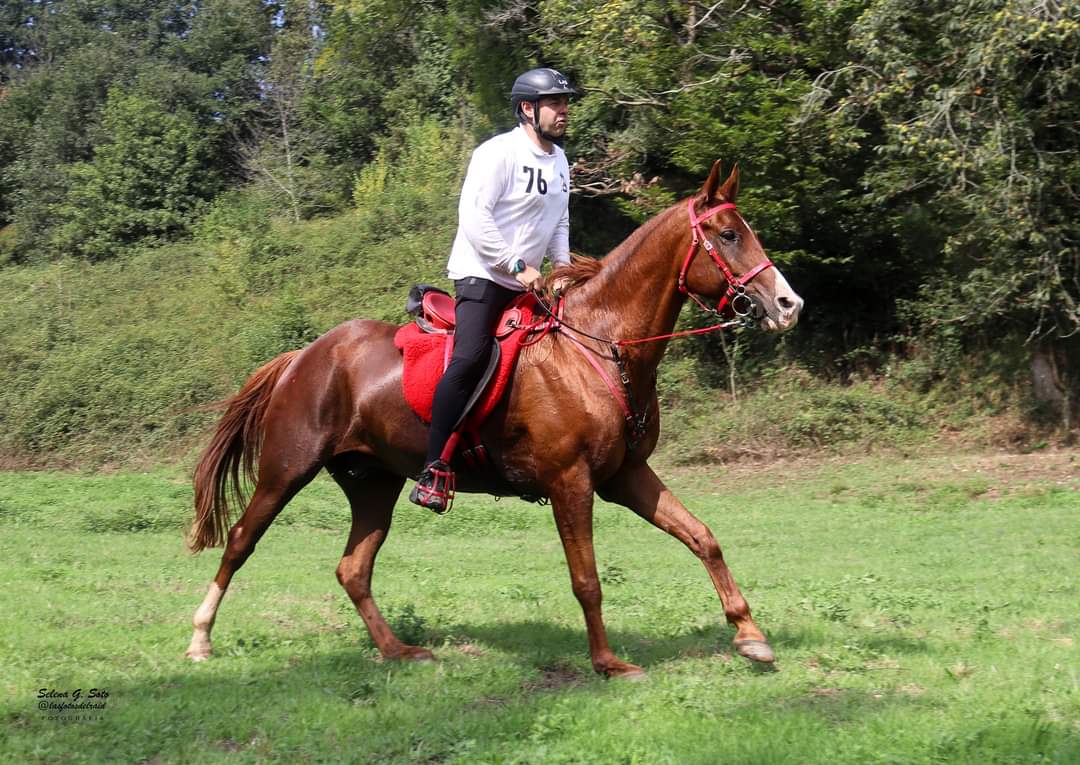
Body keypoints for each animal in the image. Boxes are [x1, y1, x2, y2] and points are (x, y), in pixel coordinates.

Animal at [185, 159, 803, 674]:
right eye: (729, 235)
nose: (789, 305)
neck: (601, 345)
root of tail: (304, 356)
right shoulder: (570, 482)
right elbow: (587, 580)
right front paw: (607, 663)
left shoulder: (625, 476)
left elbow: (703, 538)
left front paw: (750, 636)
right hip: (287, 469)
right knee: (240, 540)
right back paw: (200, 638)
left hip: (373, 482)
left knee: (352, 569)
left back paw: (398, 650)